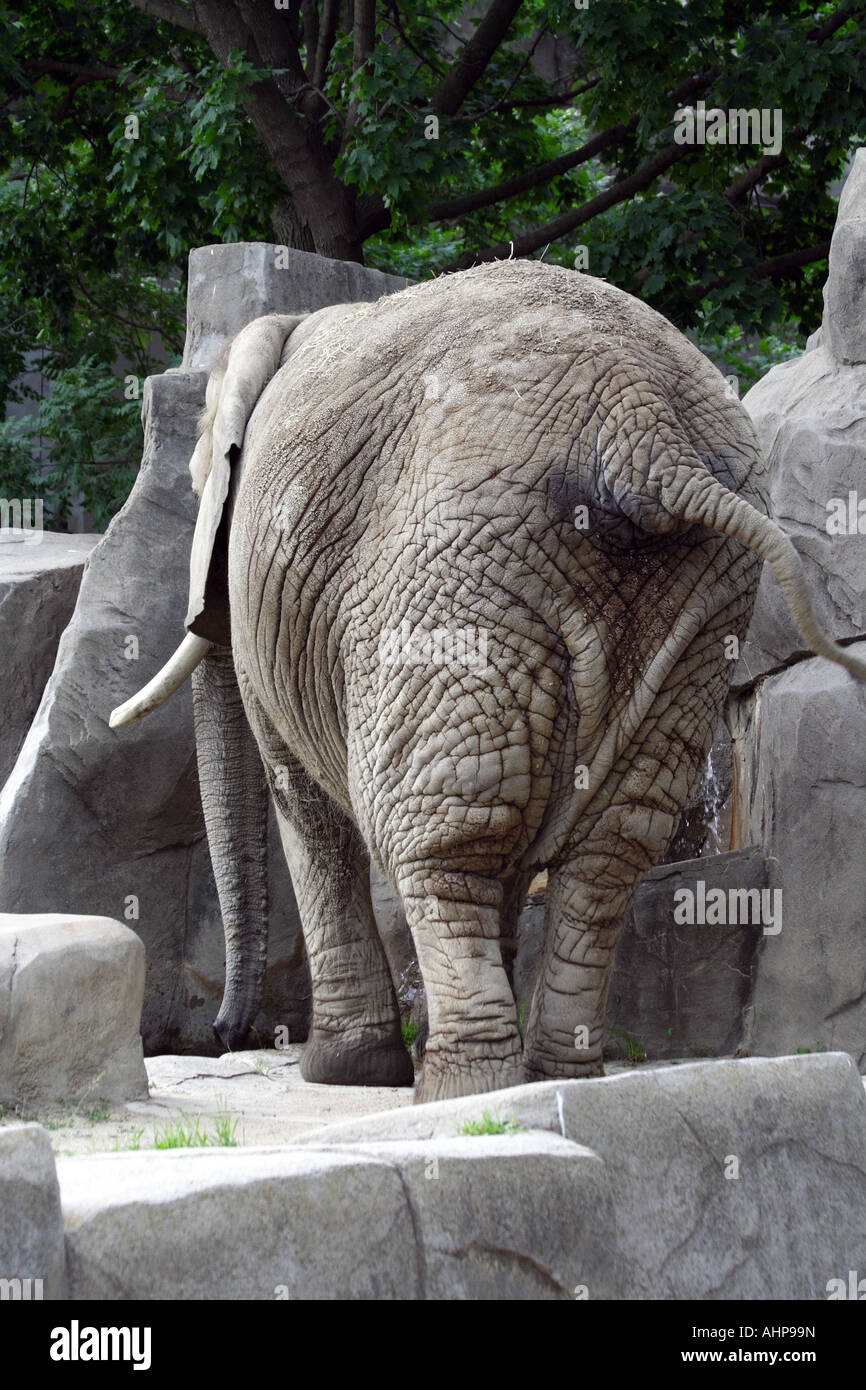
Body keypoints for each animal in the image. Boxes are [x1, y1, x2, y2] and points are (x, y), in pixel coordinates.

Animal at [111, 260, 865, 1103]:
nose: (222, 1034)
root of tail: (642, 431)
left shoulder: (263, 603)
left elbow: (301, 798)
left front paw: (343, 1075)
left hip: (457, 570)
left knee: (446, 833)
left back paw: (462, 1088)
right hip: (699, 597)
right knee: (606, 847)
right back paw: (547, 1075)